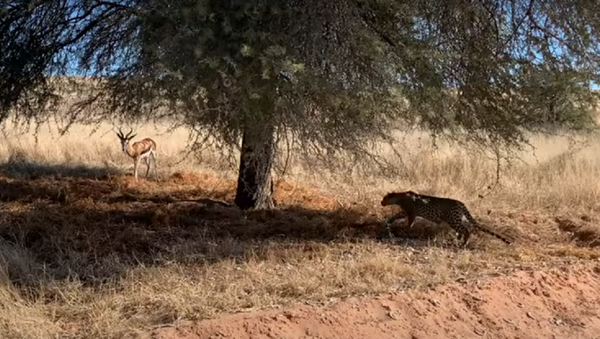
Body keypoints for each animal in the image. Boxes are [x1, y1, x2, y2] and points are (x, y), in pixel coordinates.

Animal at [380, 191, 510, 247]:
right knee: (464, 229)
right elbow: (396, 216)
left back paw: (464, 242)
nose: (381, 202)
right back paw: (457, 239)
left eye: (384, 198)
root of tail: (460, 203)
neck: (399, 196)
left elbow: (409, 223)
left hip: (453, 219)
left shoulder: (411, 213)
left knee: (466, 230)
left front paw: (407, 231)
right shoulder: (406, 212)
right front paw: (389, 221)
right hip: (457, 219)